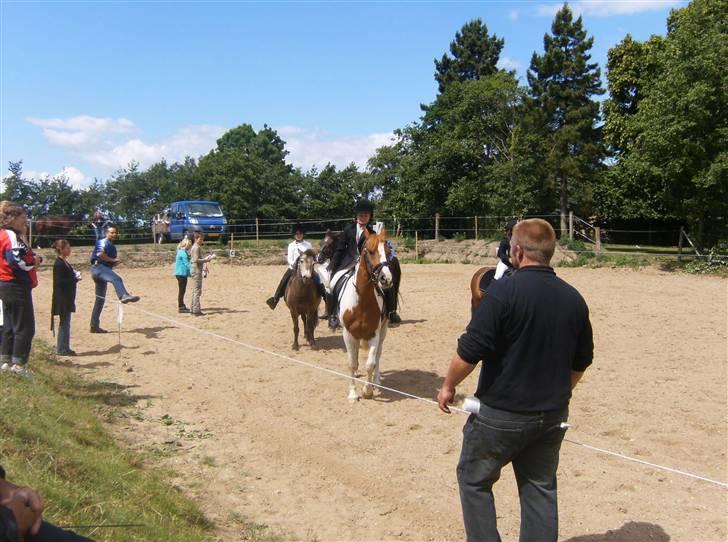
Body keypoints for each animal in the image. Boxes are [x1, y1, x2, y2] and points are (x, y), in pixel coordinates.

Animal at [332, 227, 396, 402]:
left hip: (384, 330)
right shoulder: (348, 334)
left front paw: (368, 390)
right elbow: (352, 363)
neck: (361, 299)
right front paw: (353, 393)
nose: (386, 279)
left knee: (378, 354)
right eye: (371, 251)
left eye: (388, 251)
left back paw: (377, 380)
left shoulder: (374, 333)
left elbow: (371, 363)